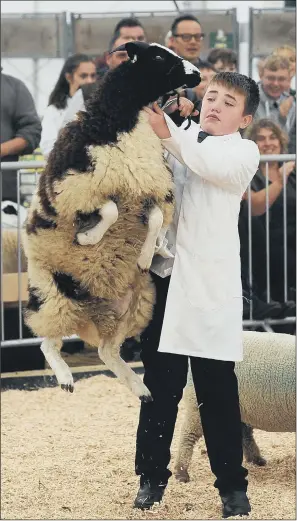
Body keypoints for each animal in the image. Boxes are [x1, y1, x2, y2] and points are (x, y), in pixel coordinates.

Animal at [22, 43, 200, 402]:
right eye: (157, 56)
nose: (199, 76)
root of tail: (89, 314)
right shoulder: (76, 187)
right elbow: (110, 211)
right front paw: (88, 239)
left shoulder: (150, 189)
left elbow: (154, 218)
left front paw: (147, 254)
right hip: (52, 293)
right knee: (47, 341)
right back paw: (65, 378)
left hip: (135, 306)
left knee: (107, 351)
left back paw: (140, 388)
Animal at [173, 332, 294, 482]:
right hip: (197, 405)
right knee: (188, 434)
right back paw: (181, 473)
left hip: (240, 407)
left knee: (245, 434)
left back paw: (256, 460)